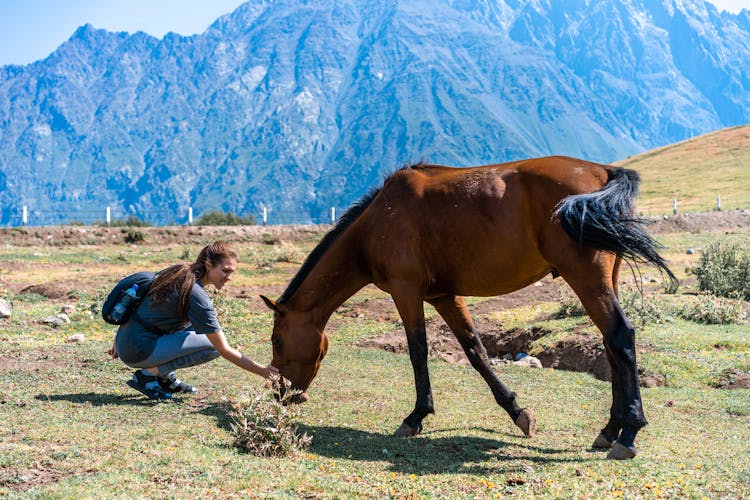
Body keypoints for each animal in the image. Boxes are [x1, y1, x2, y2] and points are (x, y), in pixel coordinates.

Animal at [262, 154, 680, 458]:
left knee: (620, 337)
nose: (281, 394)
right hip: (605, 280)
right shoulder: (444, 296)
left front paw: (415, 417)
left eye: (277, 341)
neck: (377, 221)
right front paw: (518, 413)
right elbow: (475, 351)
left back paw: (628, 434)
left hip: (587, 279)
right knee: (611, 345)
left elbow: (418, 352)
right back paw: (609, 430)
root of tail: (602, 171)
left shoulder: (406, 291)